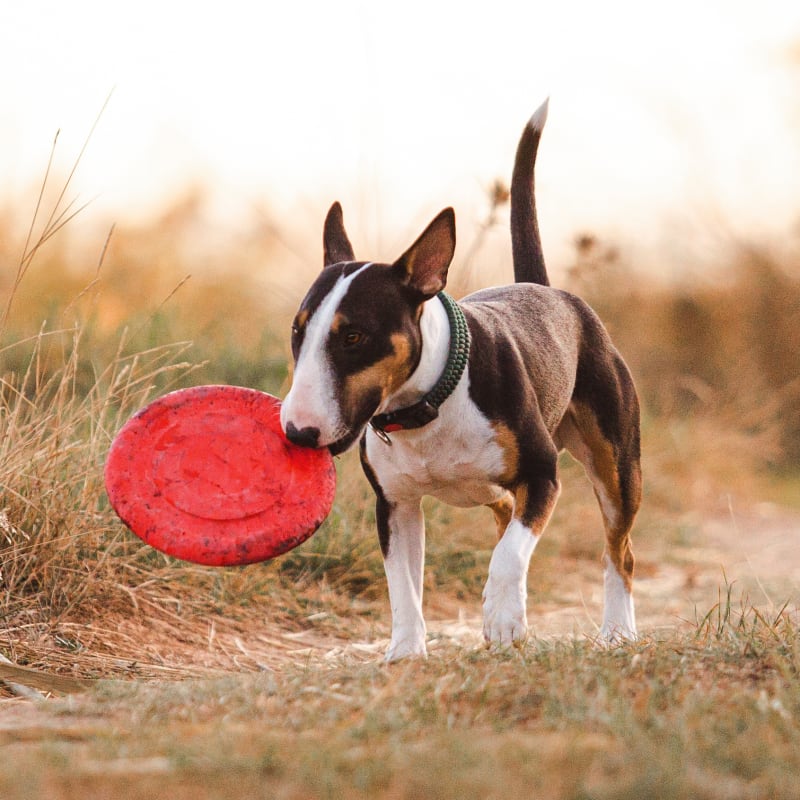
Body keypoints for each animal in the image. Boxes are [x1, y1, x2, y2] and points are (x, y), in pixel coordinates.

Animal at [278, 100, 640, 660]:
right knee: (508, 515)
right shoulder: (396, 505)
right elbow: (403, 586)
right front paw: (406, 652)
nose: (297, 433)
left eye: (355, 336)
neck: (428, 404)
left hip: (616, 464)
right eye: (298, 332)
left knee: (618, 550)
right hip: (495, 488)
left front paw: (503, 620)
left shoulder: (543, 474)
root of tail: (547, 290)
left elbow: (509, 556)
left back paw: (617, 631)